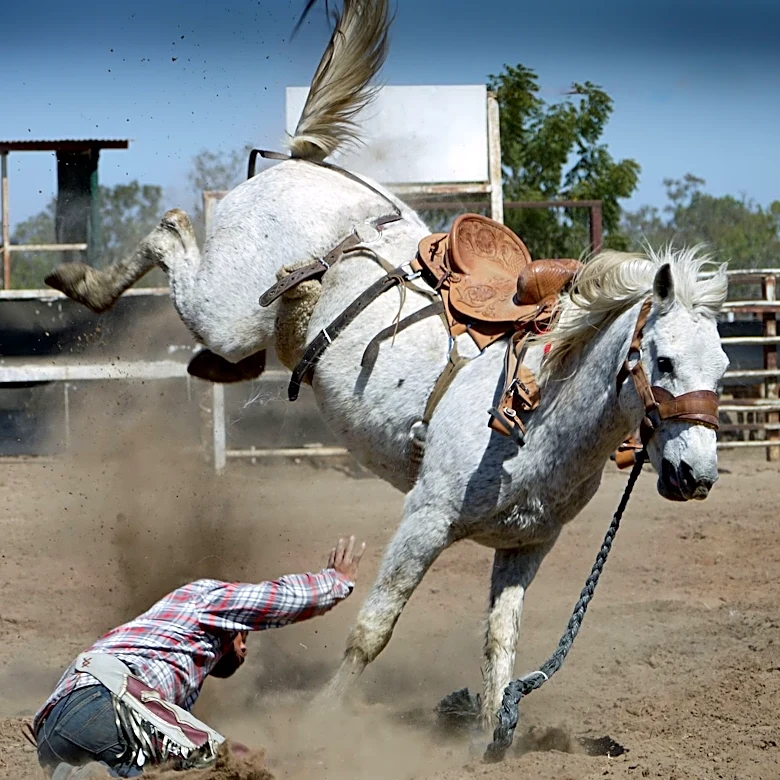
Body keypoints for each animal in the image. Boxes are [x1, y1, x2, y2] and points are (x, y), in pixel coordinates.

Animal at [45, 0, 730, 728]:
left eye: (721, 368)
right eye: (663, 361)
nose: (697, 476)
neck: (539, 412)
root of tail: (303, 163)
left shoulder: (525, 547)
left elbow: (500, 646)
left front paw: (492, 732)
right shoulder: (424, 520)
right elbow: (374, 628)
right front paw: (320, 721)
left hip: (246, 328)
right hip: (222, 309)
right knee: (170, 230)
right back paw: (79, 280)